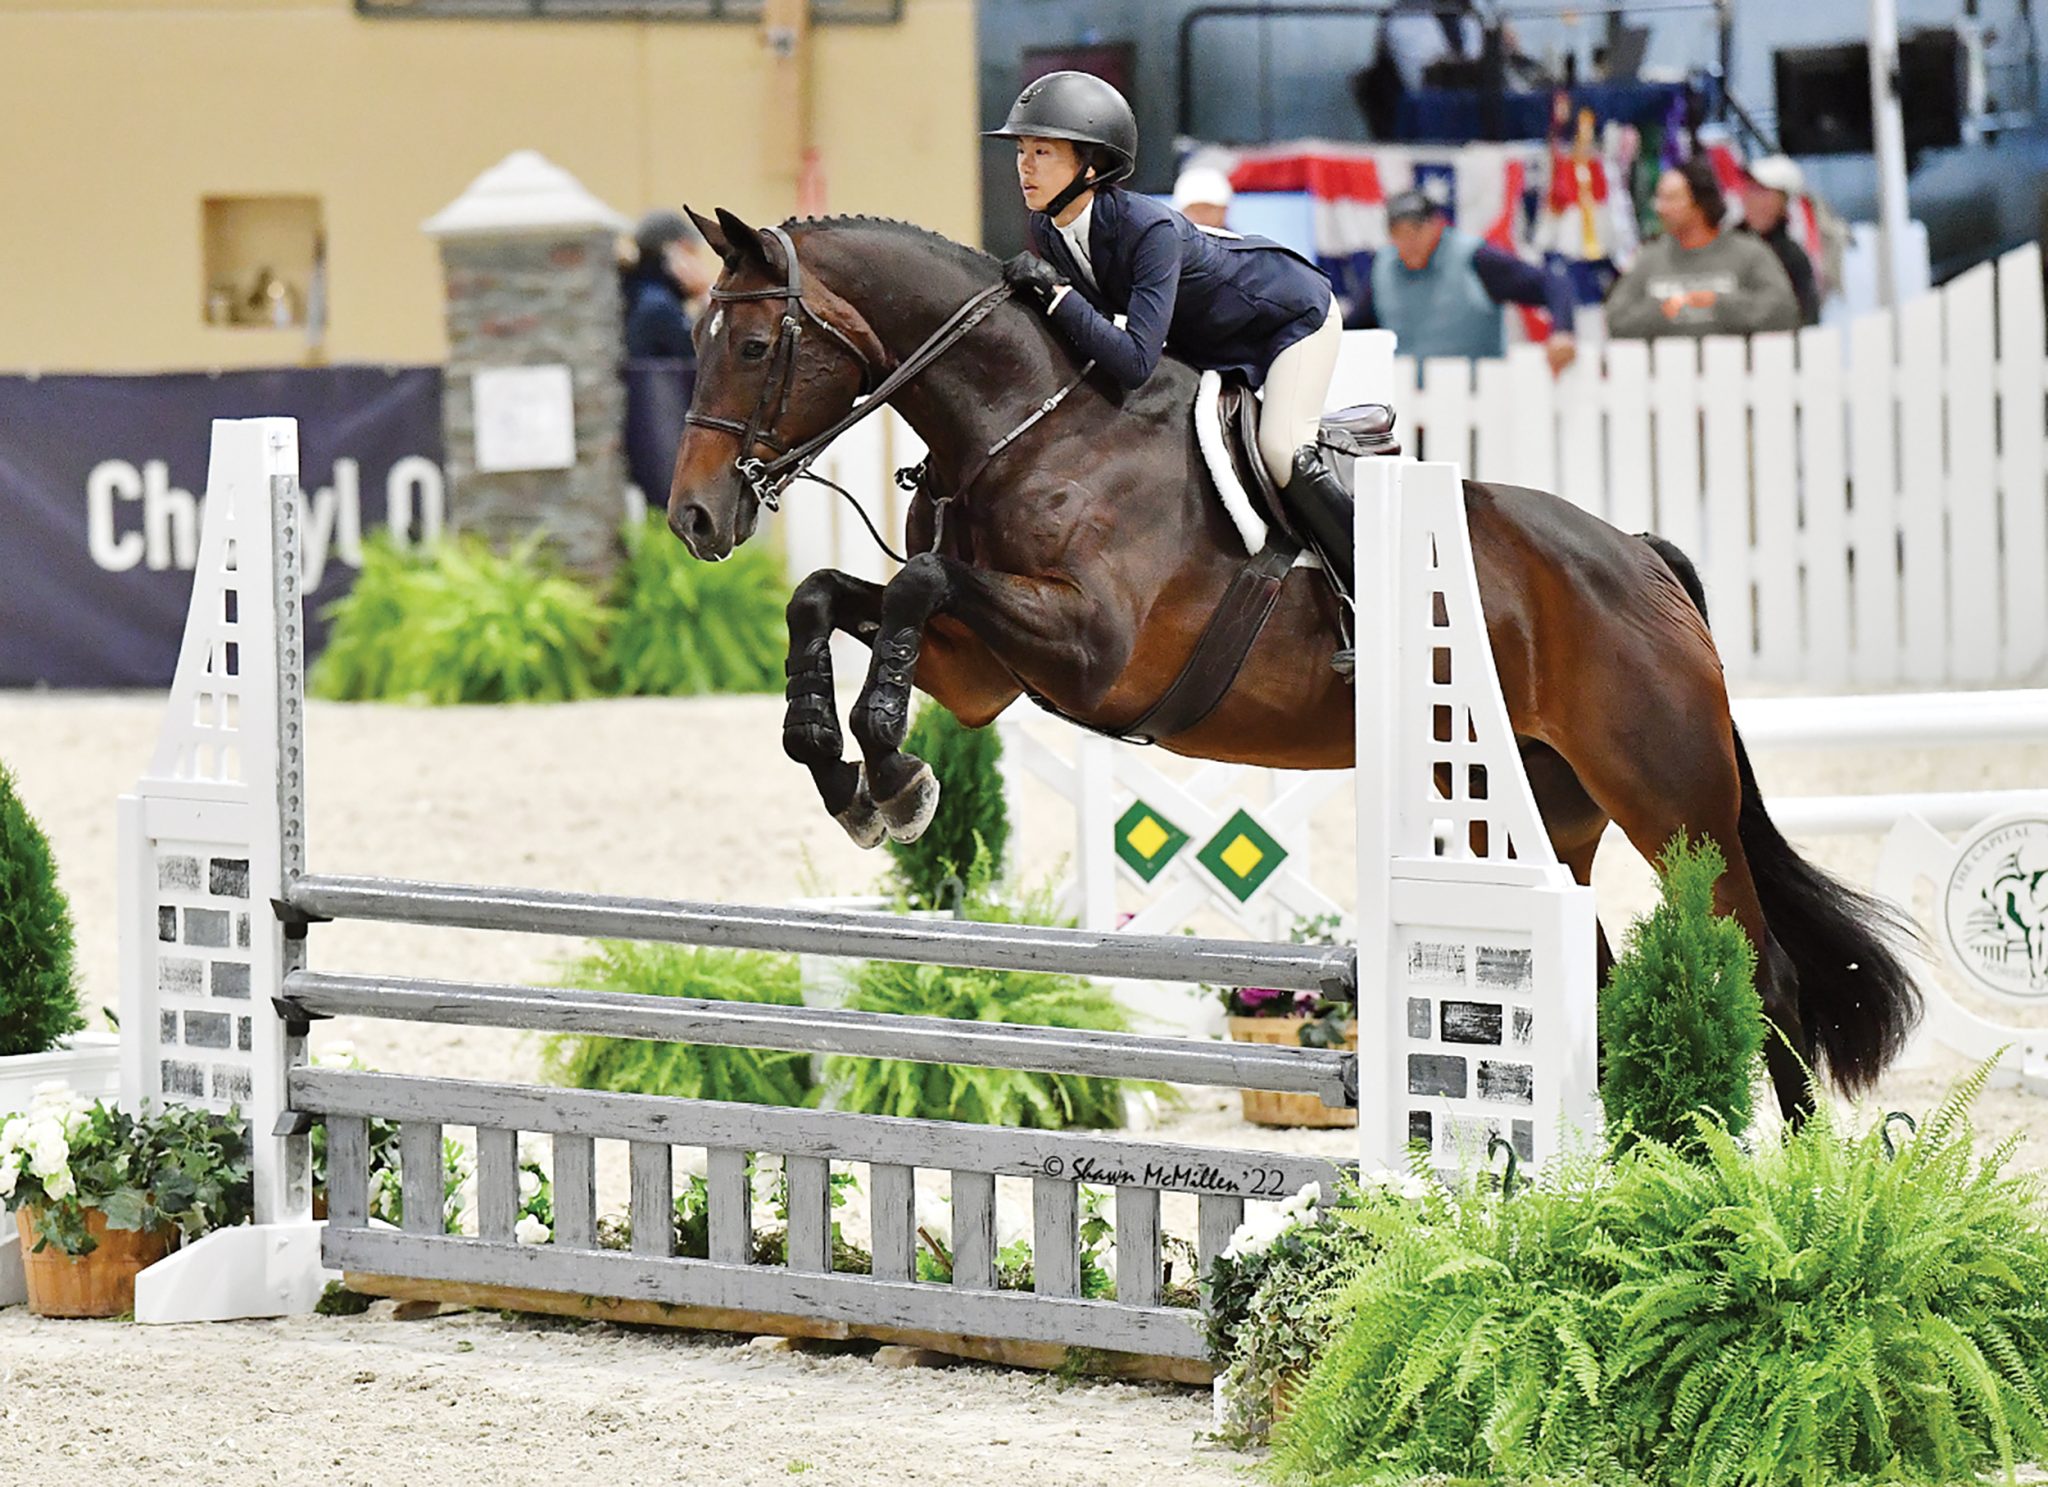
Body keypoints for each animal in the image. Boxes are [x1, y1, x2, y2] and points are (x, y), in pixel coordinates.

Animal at [664, 207, 1918, 1121]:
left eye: (758, 346)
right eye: (696, 341)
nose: (693, 518)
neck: (1029, 421)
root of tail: (1640, 557)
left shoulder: (1088, 650)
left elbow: (915, 586)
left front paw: (893, 777)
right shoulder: (985, 670)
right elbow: (832, 597)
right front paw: (849, 775)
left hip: (1671, 796)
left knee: (1761, 978)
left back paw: (1791, 1191)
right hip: (1536, 805)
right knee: (1596, 977)